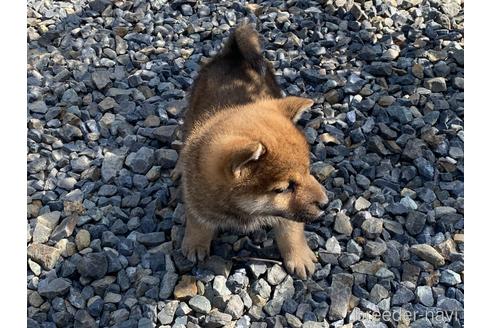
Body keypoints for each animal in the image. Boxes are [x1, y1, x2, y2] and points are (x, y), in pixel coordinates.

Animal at [175, 23, 328, 280]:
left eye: (309, 170)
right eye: (283, 189)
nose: (326, 203)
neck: (242, 209)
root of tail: (234, 54)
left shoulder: (288, 216)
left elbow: (291, 230)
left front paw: (299, 256)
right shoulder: (197, 199)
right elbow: (198, 223)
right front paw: (195, 243)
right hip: (191, 112)